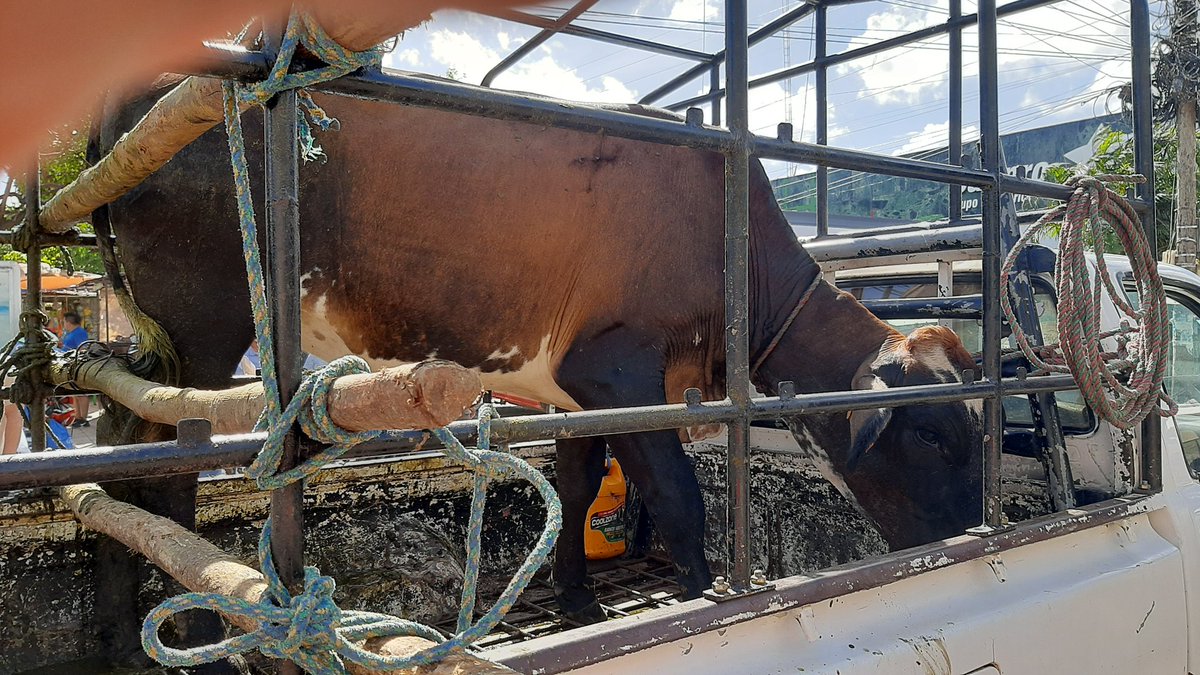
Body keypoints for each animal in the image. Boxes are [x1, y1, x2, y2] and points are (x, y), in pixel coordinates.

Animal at [91, 74, 983, 651]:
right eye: (932, 435)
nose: (968, 528)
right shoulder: (616, 369)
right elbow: (678, 494)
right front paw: (699, 592)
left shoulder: (577, 390)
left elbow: (580, 484)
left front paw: (579, 598)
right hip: (206, 317)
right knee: (167, 470)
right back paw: (199, 632)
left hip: (160, 336)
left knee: (118, 441)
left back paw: (119, 626)